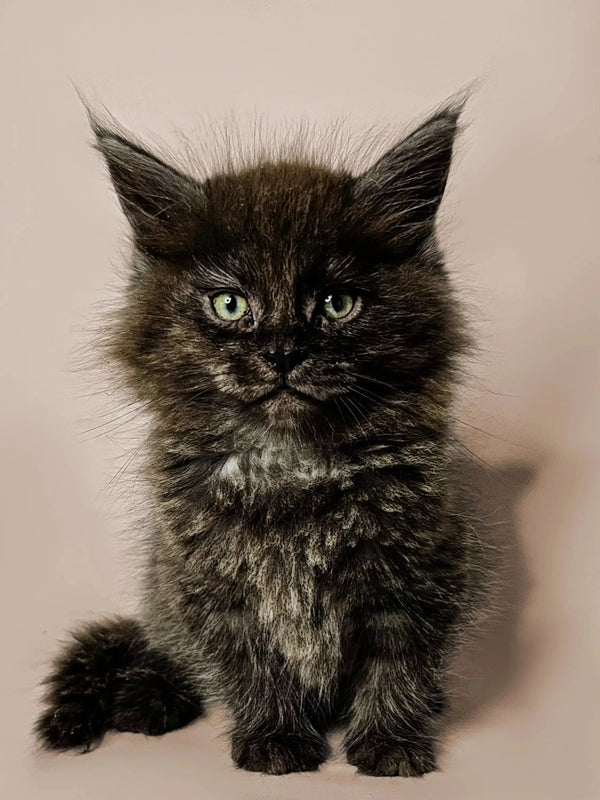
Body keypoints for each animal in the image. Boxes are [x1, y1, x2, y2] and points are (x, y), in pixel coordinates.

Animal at [35, 100, 480, 776]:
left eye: (338, 303)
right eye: (229, 304)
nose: (283, 352)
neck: (291, 463)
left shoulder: (421, 570)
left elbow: (399, 663)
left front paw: (391, 744)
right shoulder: (208, 585)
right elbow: (251, 668)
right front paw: (276, 740)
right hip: (160, 597)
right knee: (161, 645)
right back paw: (148, 695)